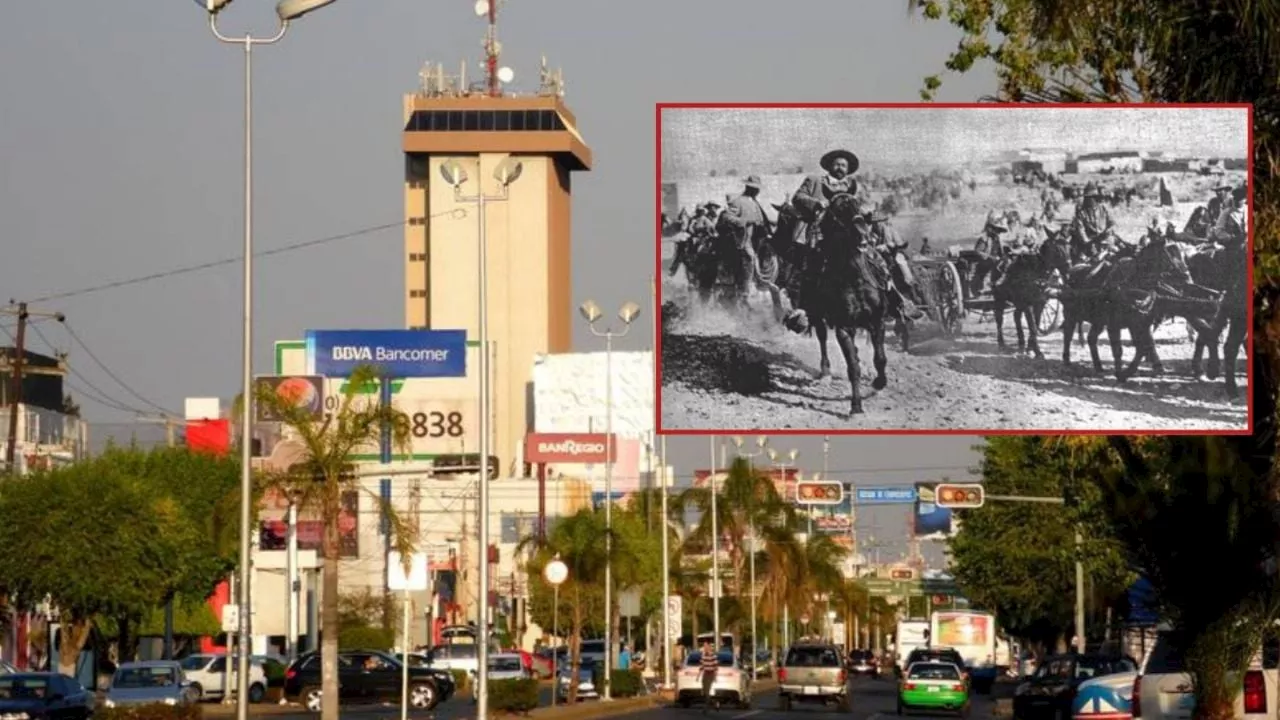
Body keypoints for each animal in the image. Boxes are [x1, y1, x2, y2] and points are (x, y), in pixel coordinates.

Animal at [808, 190, 890, 415]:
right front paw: (856, 405)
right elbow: (853, 367)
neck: (855, 279)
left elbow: (880, 358)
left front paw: (879, 382)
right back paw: (825, 372)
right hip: (818, 316)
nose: (863, 235)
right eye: (838, 210)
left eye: (858, 205)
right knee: (822, 337)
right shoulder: (844, 328)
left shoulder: (877, 321)